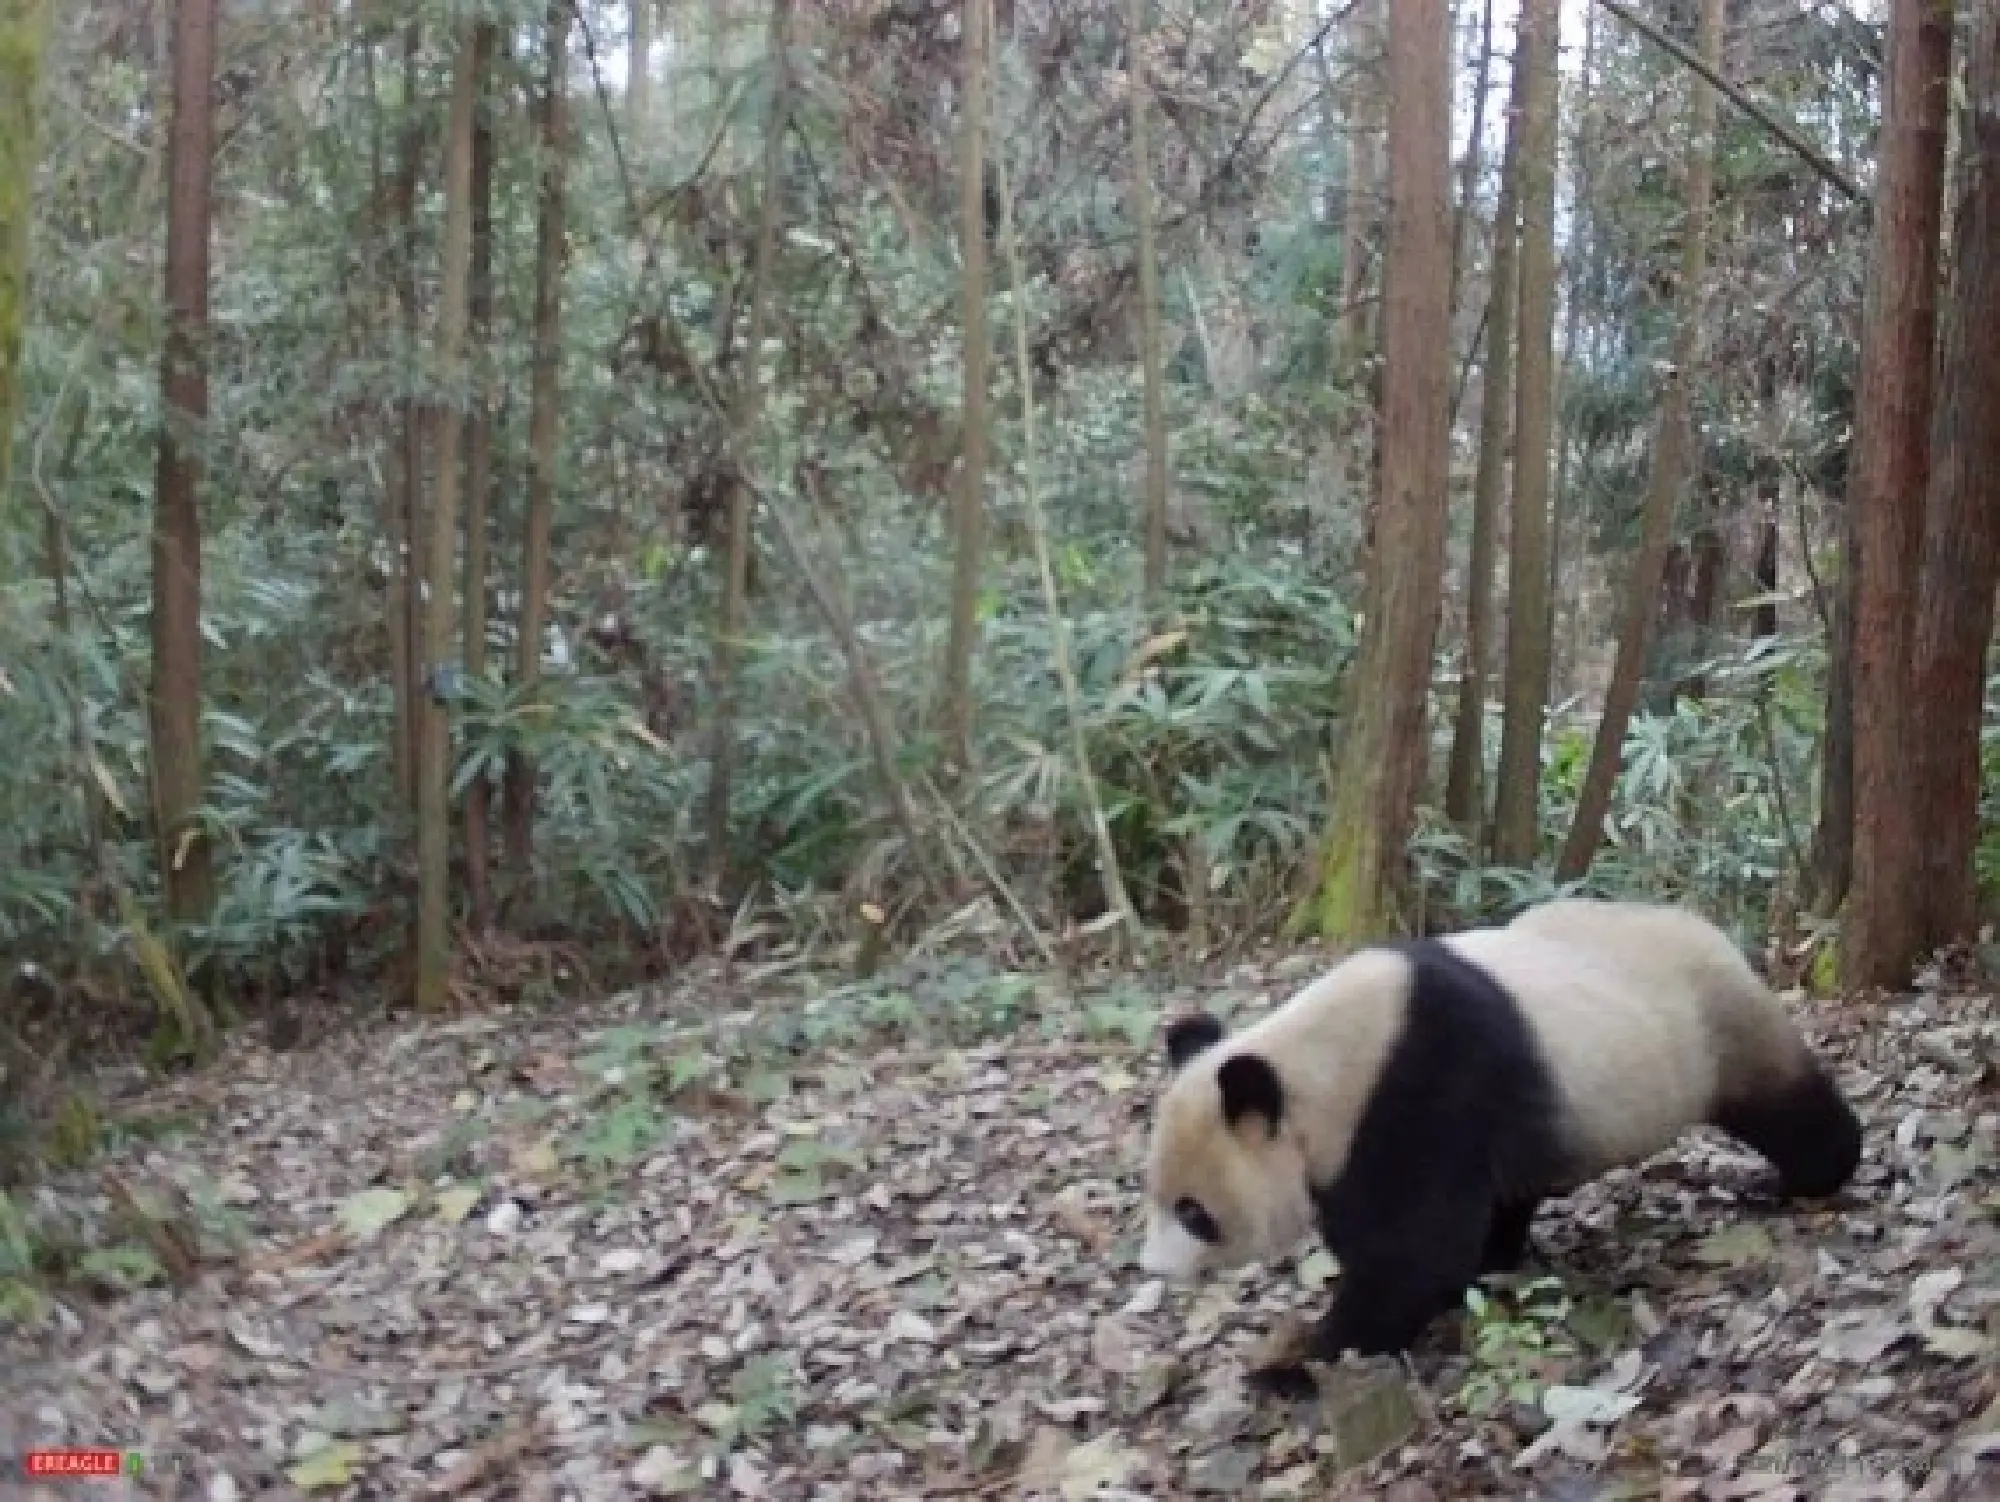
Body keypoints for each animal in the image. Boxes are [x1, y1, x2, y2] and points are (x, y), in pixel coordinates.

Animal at [1138, 898, 1861, 1390]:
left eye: (1193, 1212)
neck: (1321, 1066)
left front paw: (1295, 1367)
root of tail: (1712, 930)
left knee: (1787, 1108)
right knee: (1514, 1189)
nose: (1154, 1271)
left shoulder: (1418, 1087)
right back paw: (1502, 1257)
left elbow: (1412, 1254)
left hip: (1716, 1030)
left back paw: (1805, 1177)